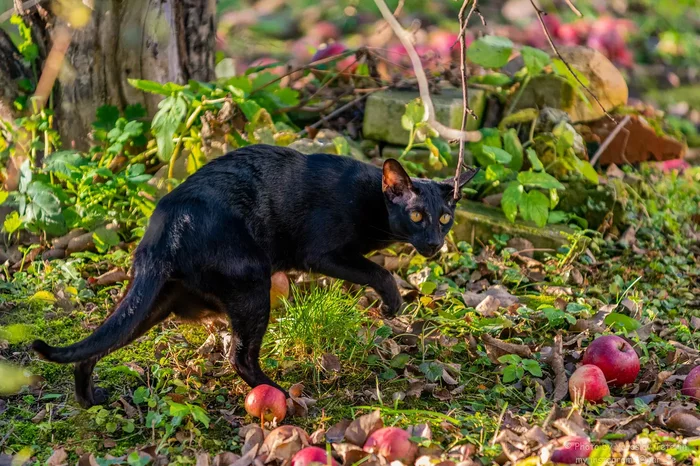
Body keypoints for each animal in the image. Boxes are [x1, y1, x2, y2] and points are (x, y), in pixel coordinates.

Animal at [35, 146, 478, 408]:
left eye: (444, 219)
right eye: (417, 216)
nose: (434, 243)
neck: (372, 200)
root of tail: (167, 226)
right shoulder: (322, 253)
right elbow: (379, 270)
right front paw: (391, 305)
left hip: (157, 303)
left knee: (96, 344)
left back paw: (90, 399)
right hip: (252, 285)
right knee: (240, 356)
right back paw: (280, 393)